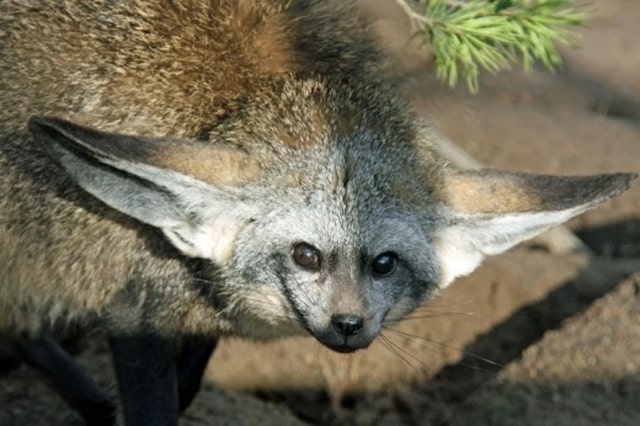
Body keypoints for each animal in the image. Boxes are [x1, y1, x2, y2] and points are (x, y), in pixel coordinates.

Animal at [0, 0, 636, 424]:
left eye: (384, 263)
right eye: (306, 255)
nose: (349, 325)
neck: (229, 99)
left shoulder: (196, 320)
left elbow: (188, 383)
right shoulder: (134, 308)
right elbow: (155, 404)